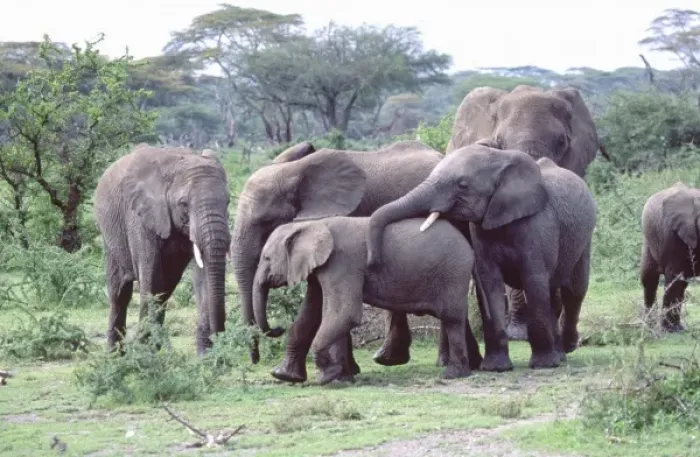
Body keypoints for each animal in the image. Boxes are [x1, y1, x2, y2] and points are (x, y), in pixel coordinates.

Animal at [94, 145, 231, 355]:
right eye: (183, 204)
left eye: (228, 202)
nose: (219, 341)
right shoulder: (139, 216)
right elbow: (150, 276)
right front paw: (143, 352)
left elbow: (202, 275)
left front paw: (205, 356)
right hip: (110, 234)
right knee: (120, 293)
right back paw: (115, 354)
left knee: (165, 291)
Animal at [231, 139, 453, 383]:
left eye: (266, 222)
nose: (255, 360)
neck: (293, 171)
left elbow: (318, 298)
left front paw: (324, 375)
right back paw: (390, 359)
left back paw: (441, 362)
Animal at [252, 216, 482, 384]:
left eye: (266, 258)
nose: (277, 328)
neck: (312, 224)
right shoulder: (321, 270)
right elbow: (316, 314)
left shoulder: (341, 263)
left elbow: (344, 313)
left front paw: (327, 377)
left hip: (454, 272)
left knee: (452, 319)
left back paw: (452, 374)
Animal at [367, 143, 597, 371]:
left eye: (462, 185)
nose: (372, 260)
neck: (501, 159)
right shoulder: (481, 231)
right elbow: (489, 284)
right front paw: (496, 367)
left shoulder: (536, 225)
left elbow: (533, 281)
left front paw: (543, 365)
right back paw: (559, 355)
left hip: (585, 237)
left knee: (574, 290)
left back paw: (565, 350)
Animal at [640, 182, 700, 332]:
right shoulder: (673, 234)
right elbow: (675, 278)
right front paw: (671, 331)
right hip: (649, 239)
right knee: (649, 279)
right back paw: (649, 326)